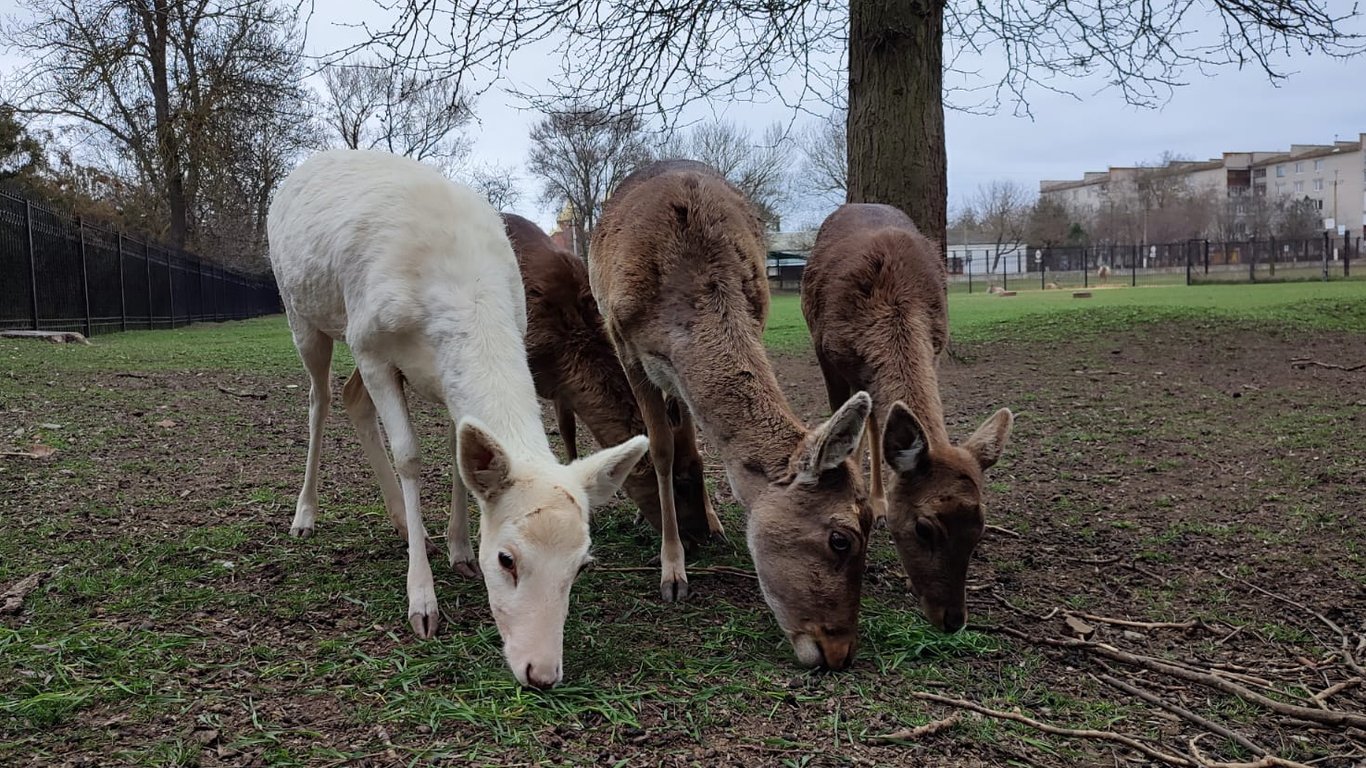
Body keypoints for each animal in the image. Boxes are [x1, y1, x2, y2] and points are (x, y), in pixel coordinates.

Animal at [270, 149, 650, 688]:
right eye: (507, 558)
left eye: (582, 564)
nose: (542, 672)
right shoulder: (371, 347)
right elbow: (410, 455)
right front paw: (422, 605)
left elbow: (460, 459)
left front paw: (460, 554)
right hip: (303, 313)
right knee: (318, 398)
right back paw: (304, 517)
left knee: (351, 397)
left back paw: (405, 526)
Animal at [590, 158, 868, 666]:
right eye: (842, 538)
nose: (840, 652)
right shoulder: (626, 345)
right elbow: (659, 448)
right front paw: (673, 572)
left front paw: (707, 526)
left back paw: (712, 522)